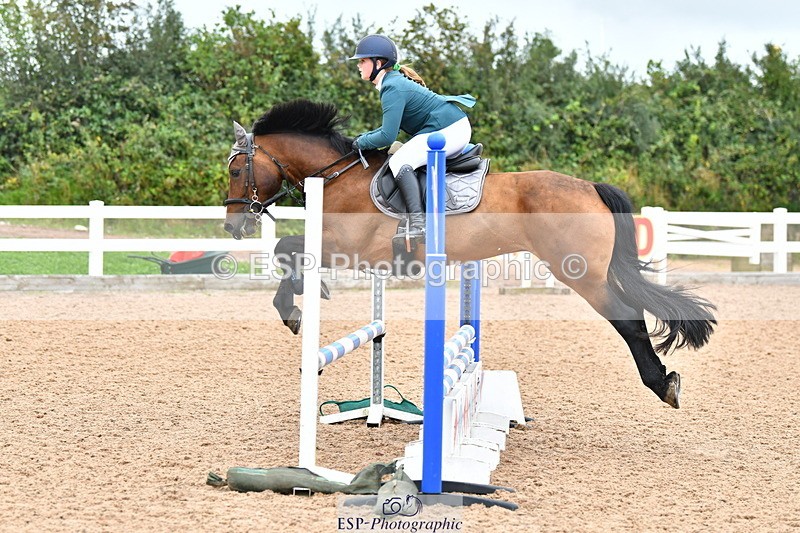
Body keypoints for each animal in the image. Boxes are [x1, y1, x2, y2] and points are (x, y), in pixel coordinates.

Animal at [223, 99, 716, 409]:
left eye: (236, 168)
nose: (233, 225)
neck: (340, 177)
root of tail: (591, 187)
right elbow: (288, 250)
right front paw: (299, 302)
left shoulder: (349, 249)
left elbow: (287, 249)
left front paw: (295, 309)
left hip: (581, 275)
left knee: (628, 320)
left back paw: (662, 385)